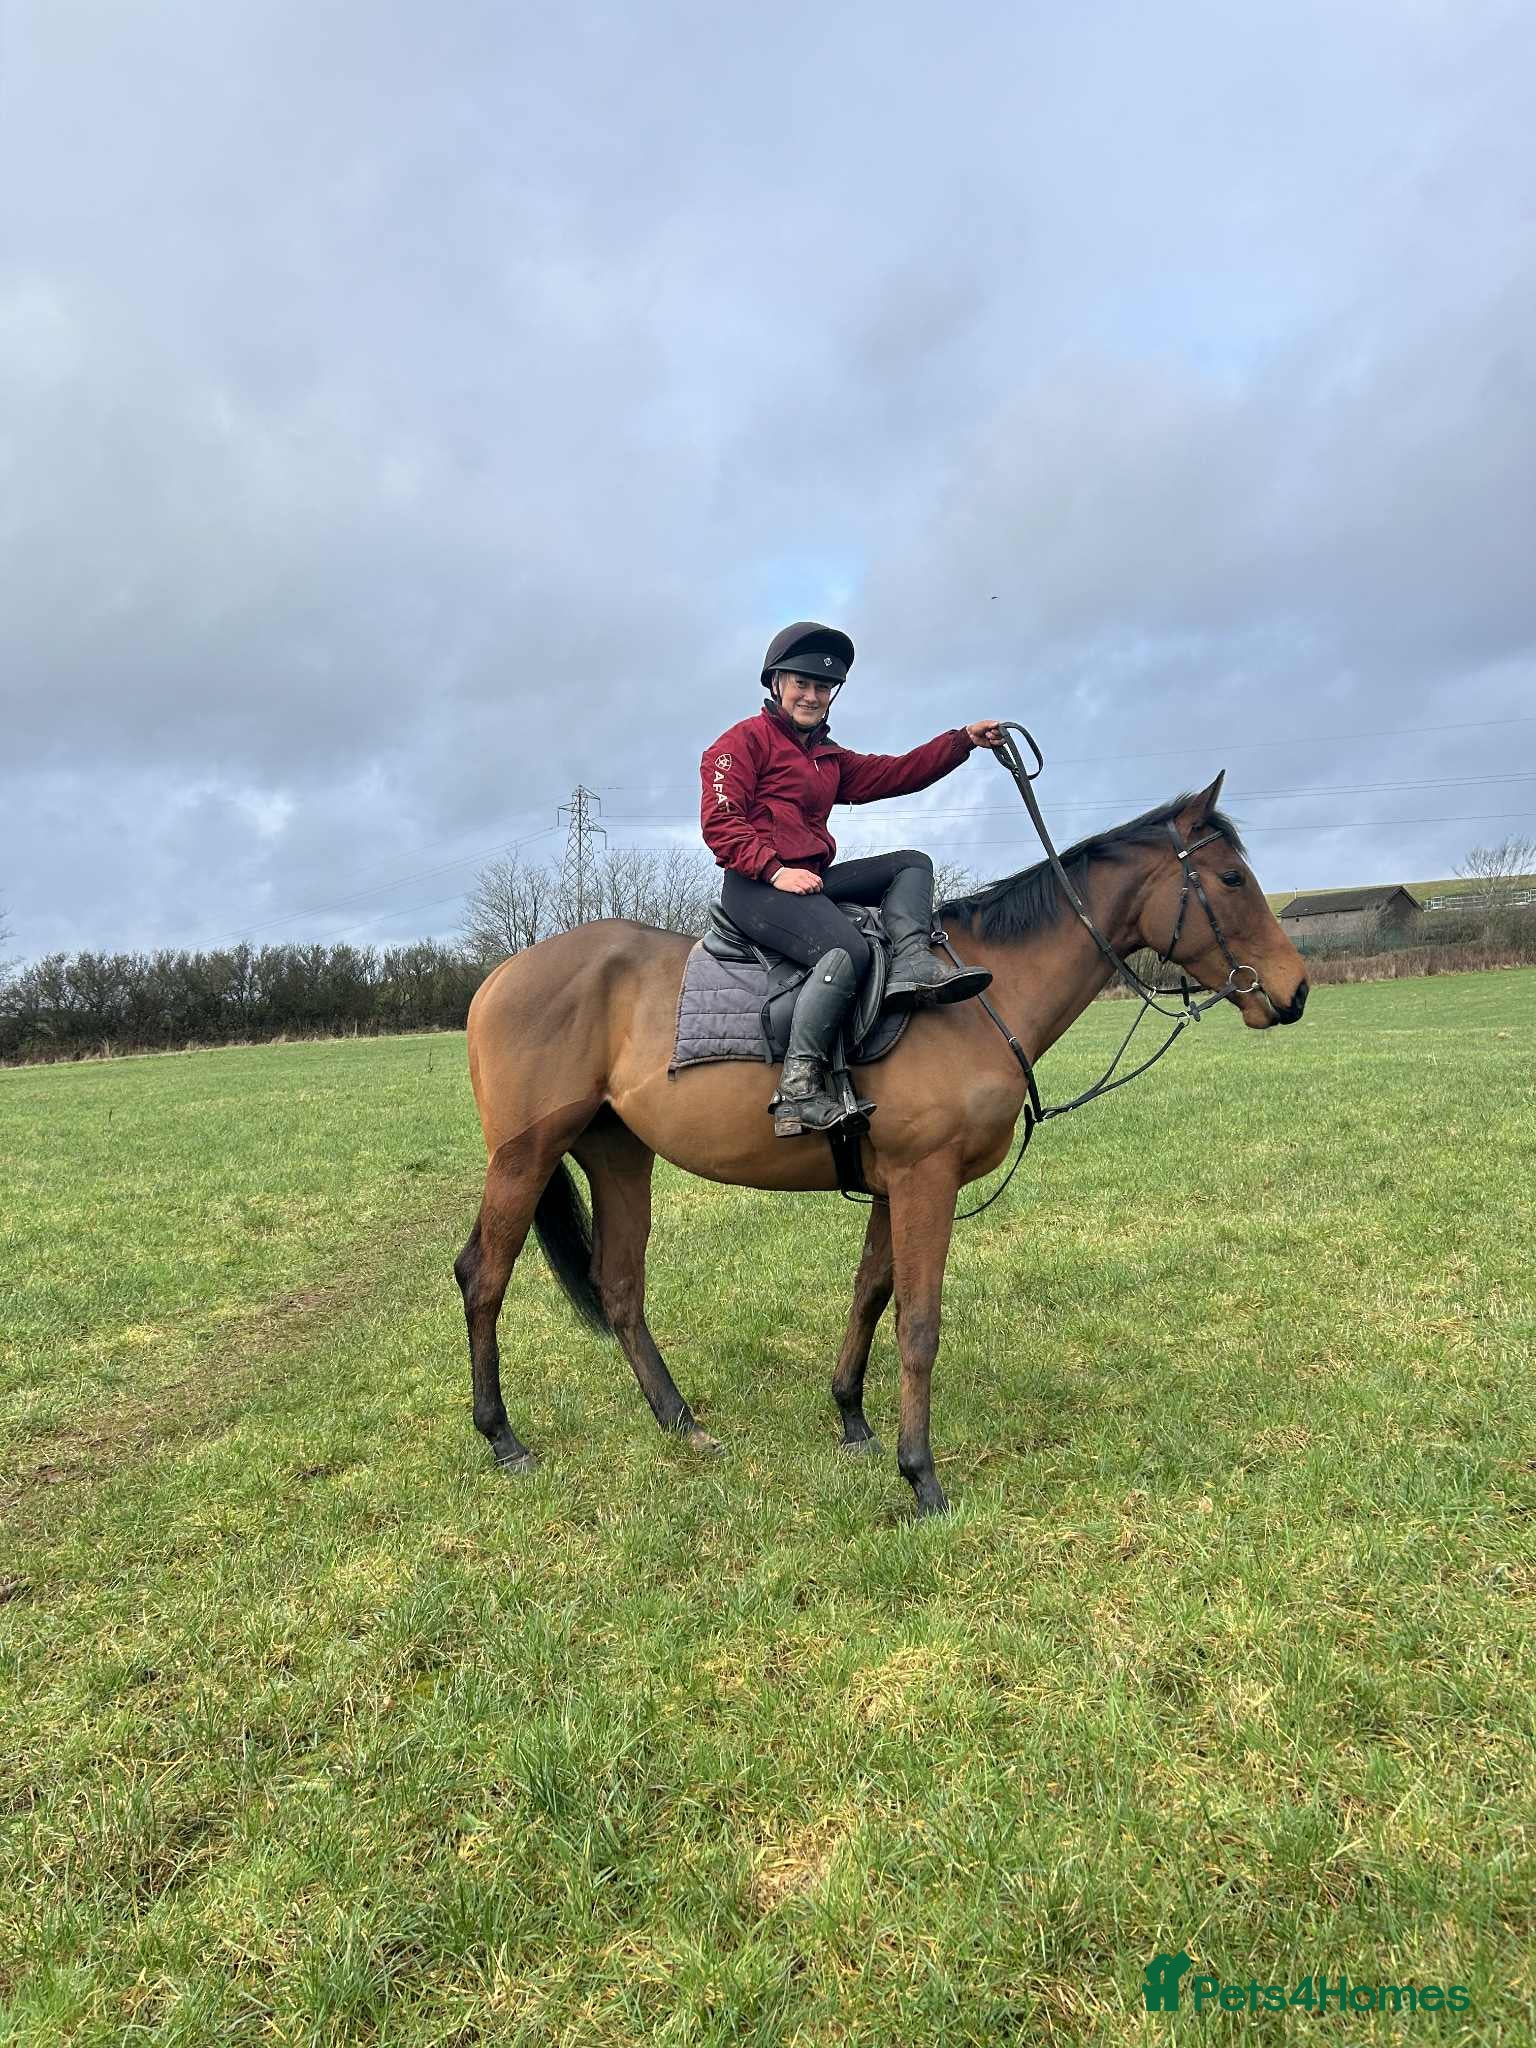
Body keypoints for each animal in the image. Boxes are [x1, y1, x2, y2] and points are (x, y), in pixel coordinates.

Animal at [456, 772, 1309, 1516]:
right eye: (1231, 878)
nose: (1294, 990)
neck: (979, 995)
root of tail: (501, 976)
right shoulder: (925, 1177)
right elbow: (919, 1323)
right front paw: (921, 1475)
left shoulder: (895, 1185)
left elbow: (869, 1294)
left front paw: (852, 1420)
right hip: (525, 1156)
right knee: (483, 1277)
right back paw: (503, 1439)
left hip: (619, 1154)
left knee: (620, 1286)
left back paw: (682, 1425)